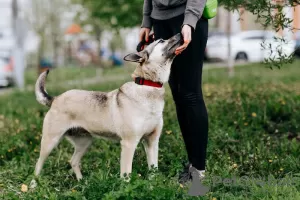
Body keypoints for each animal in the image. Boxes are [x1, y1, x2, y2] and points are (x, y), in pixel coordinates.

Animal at [33, 33, 182, 181]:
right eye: (161, 40)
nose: (180, 33)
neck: (148, 85)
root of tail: (55, 99)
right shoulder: (129, 143)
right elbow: (126, 174)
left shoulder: (152, 142)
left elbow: (153, 170)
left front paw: (153, 184)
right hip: (50, 142)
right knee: (38, 165)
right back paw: (34, 185)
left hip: (85, 142)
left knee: (73, 161)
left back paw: (82, 182)